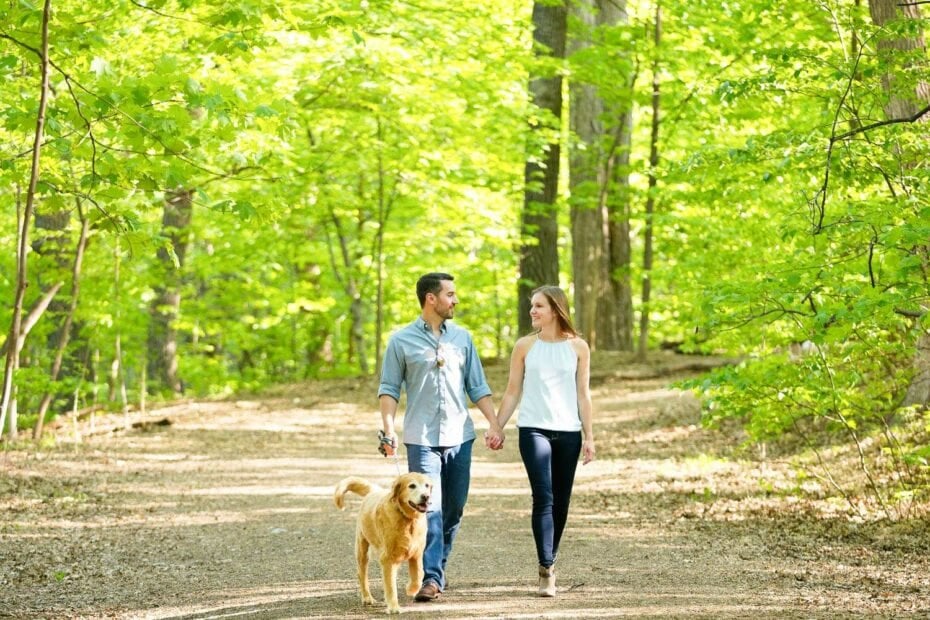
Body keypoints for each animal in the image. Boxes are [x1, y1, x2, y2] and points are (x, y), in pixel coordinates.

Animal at [334, 472, 432, 612]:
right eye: (412, 486)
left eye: (427, 485)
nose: (426, 496)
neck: (407, 519)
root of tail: (374, 491)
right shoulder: (387, 558)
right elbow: (390, 585)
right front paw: (393, 607)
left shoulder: (416, 554)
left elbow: (419, 575)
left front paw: (411, 589)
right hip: (362, 549)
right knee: (362, 574)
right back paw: (367, 597)